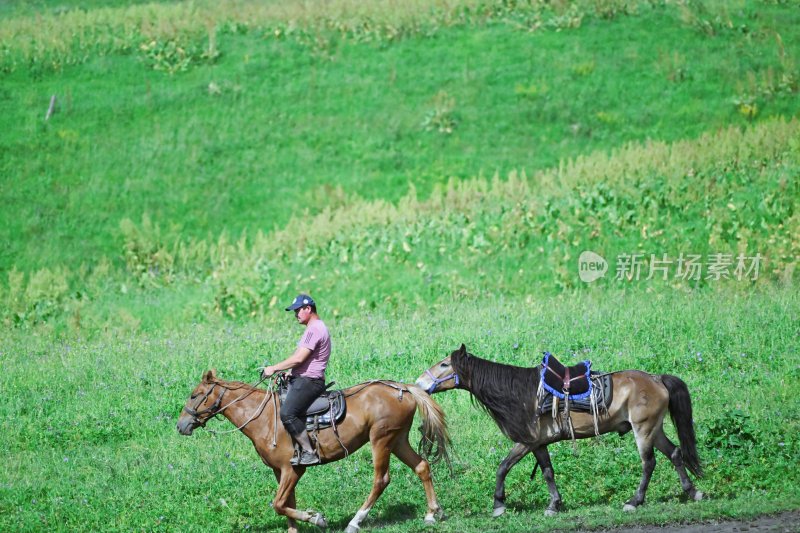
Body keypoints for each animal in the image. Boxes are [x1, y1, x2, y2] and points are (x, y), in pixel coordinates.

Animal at [177, 370, 450, 532]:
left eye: (194, 395)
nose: (181, 425)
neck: (264, 418)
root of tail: (402, 389)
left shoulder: (292, 469)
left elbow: (278, 503)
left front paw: (317, 518)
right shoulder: (281, 471)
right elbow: (287, 503)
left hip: (381, 440)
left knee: (381, 479)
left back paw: (355, 521)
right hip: (398, 439)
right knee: (422, 466)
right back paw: (432, 513)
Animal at [416, 344, 704, 516]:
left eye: (444, 364)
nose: (419, 383)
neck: (521, 394)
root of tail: (657, 379)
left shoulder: (527, 441)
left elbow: (503, 466)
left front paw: (499, 504)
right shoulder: (540, 444)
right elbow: (548, 473)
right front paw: (554, 504)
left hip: (643, 429)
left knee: (649, 463)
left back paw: (635, 501)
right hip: (654, 428)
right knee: (675, 453)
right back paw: (692, 492)